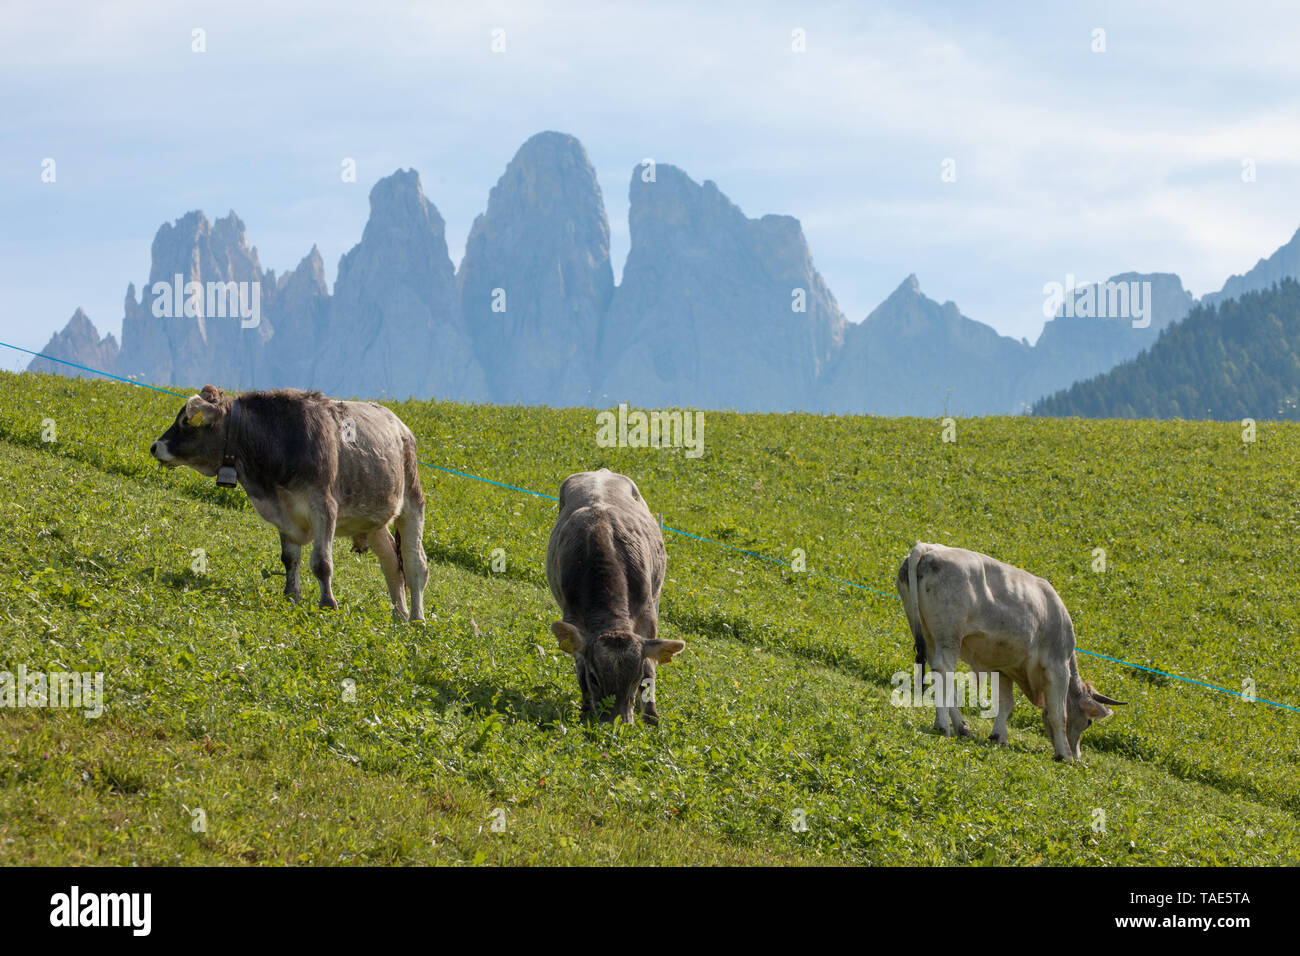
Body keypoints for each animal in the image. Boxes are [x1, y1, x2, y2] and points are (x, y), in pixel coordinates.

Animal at [150, 384, 428, 622]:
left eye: (187, 421)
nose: (154, 446)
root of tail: (401, 427)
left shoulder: (324, 506)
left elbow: (321, 563)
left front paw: (328, 605)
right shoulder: (283, 512)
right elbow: (289, 558)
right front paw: (291, 597)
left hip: (412, 501)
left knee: (415, 565)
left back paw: (417, 619)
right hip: (373, 520)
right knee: (393, 564)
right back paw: (399, 616)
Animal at [546, 469, 685, 724]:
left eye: (635, 678)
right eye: (594, 678)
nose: (616, 723)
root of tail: (600, 471)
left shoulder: (647, 618)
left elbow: (650, 667)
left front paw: (651, 717)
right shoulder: (573, 619)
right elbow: (579, 667)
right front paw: (586, 712)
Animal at [896, 542, 1125, 762]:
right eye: (1088, 722)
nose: (1078, 756)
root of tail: (928, 548)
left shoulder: (1003, 668)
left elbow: (1006, 703)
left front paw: (999, 736)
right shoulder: (1057, 667)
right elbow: (1059, 713)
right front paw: (1065, 755)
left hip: (929, 636)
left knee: (941, 676)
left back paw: (962, 727)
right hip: (949, 636)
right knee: (944, 670)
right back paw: (943, 725)